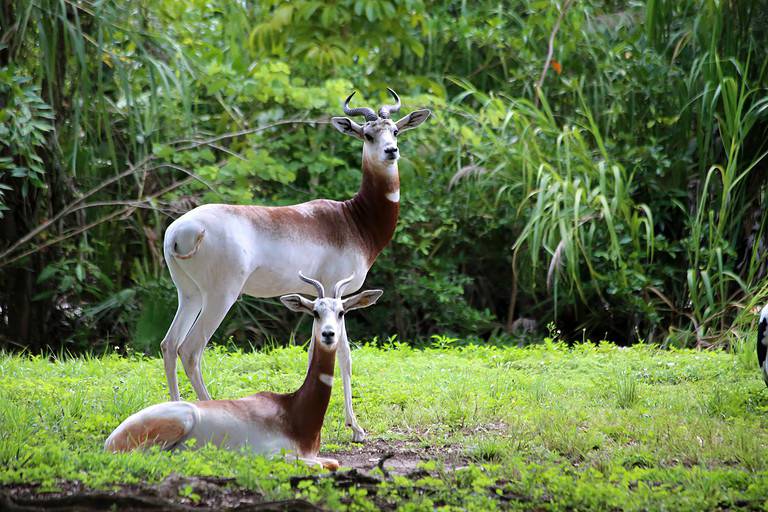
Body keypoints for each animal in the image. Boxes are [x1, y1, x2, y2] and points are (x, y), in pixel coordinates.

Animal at [106, 273, 383, 469]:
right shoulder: (274, 454)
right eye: (315, 312)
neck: (294, 412)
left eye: (342, 312)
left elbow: (333, 462)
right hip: (180, 421)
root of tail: (112, 439)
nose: (328, 334)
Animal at [160, 89, 429, 442]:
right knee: (191, 349)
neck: (354, 221)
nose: (391, 151)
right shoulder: (335, 290)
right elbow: (344, 355)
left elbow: (317, 351)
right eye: (368, 135)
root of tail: (179, 232)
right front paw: (355, 427)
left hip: (189, 295)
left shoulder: (320, 298)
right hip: (221, 296)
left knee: (169, 344)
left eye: (395, 131)